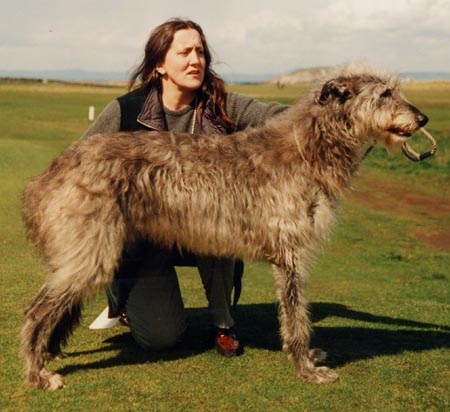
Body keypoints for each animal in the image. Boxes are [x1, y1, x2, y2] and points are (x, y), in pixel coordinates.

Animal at [21, 65, 428, 390]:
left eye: (396, 90)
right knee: (35, 311)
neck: (311, 146)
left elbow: (296, 313)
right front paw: (306, 369)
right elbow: (296, 316)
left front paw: (309, 357)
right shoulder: (291, 255)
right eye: (385, 93)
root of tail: (50, 172)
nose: (422, 118)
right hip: (89, 249)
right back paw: (37, 373)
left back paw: (50, 352)